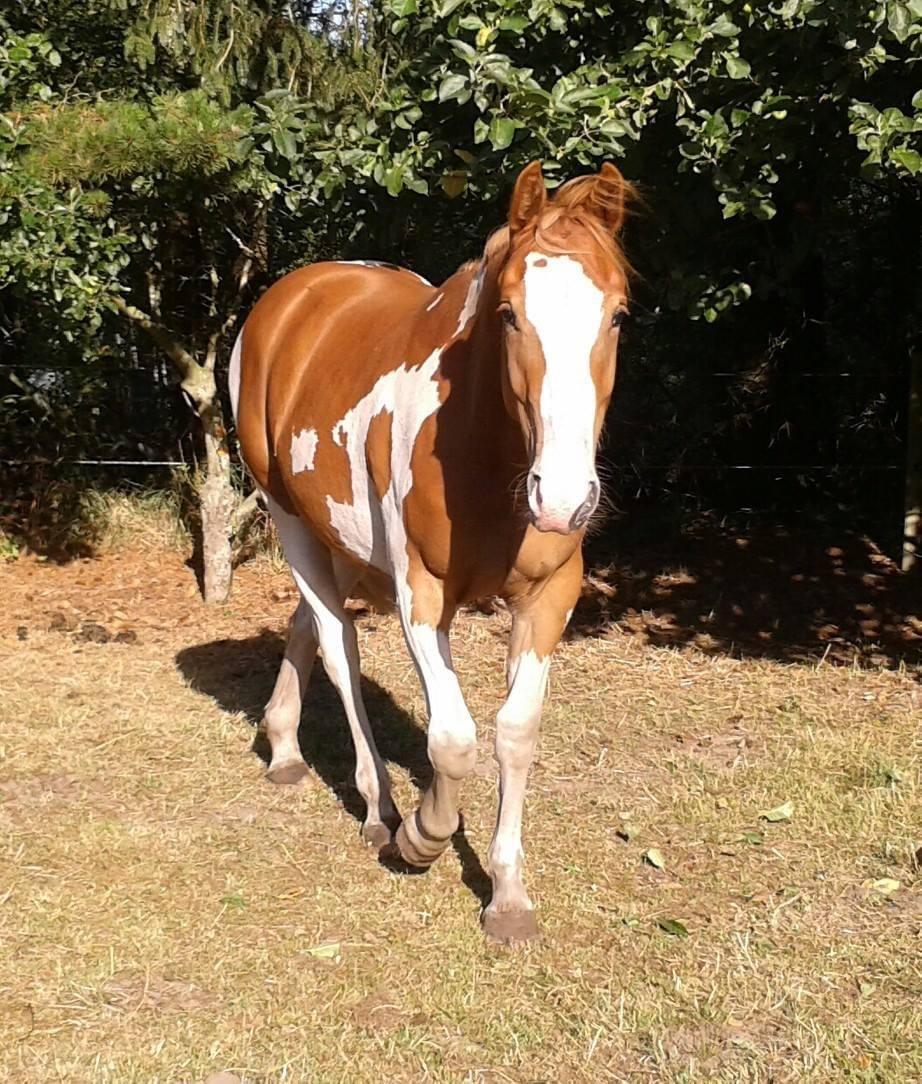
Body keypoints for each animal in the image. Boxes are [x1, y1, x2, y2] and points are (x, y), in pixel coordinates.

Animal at [230, 158, 632, 940]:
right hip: (290, 520)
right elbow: (453, 740)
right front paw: (423, 834)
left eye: (617, 315)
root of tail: (291, 296)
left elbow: (515, 730)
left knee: (306, 626)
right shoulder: (422, 595)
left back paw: (285, 747)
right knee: (339, 648)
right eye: (509, 313)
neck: (483, 453)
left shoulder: (550, 598)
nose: (565, 497)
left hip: (344, 543)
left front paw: (507, 893)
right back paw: (379, 808)